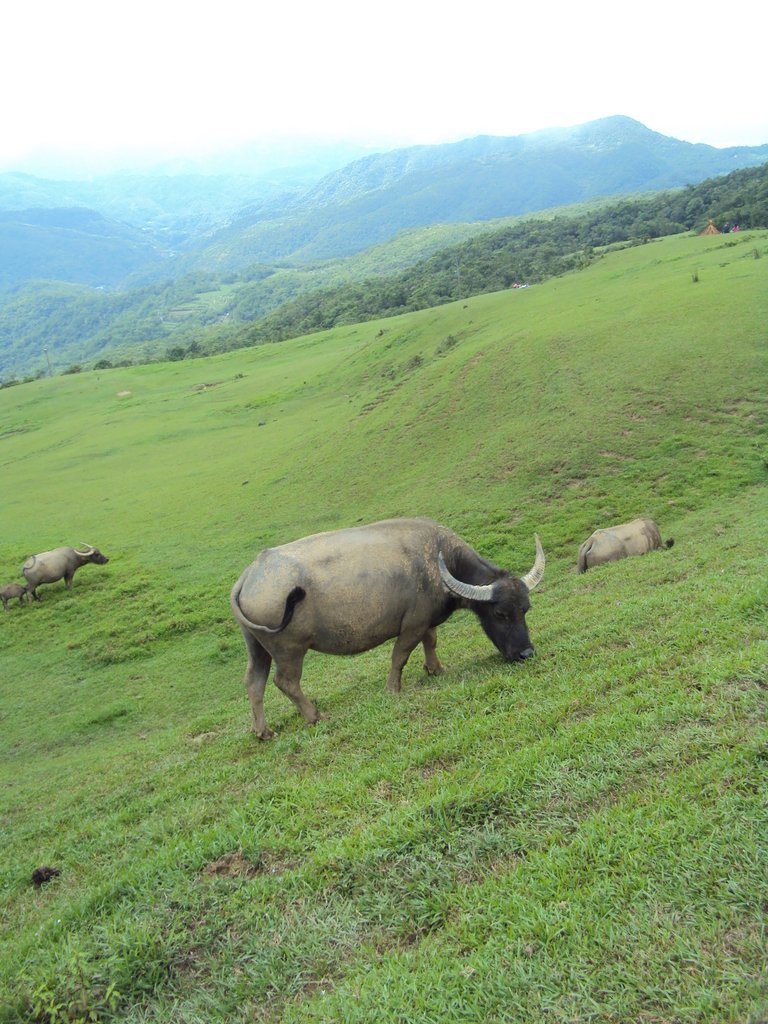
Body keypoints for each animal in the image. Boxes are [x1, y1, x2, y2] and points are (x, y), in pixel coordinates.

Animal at [230, 516, 548, 741]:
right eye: (500, 613)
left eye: (525, 609)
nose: (526, 653)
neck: (437, 562)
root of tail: (249, 574)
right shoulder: (412, 625)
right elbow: (400, 656)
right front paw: (393, 689)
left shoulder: (425, 622)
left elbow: (431, 641)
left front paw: (435, 669)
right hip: (290, 650)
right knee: (285, 682)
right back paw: (315, 716)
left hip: (257, 647)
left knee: (254, 682)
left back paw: (263, 732)